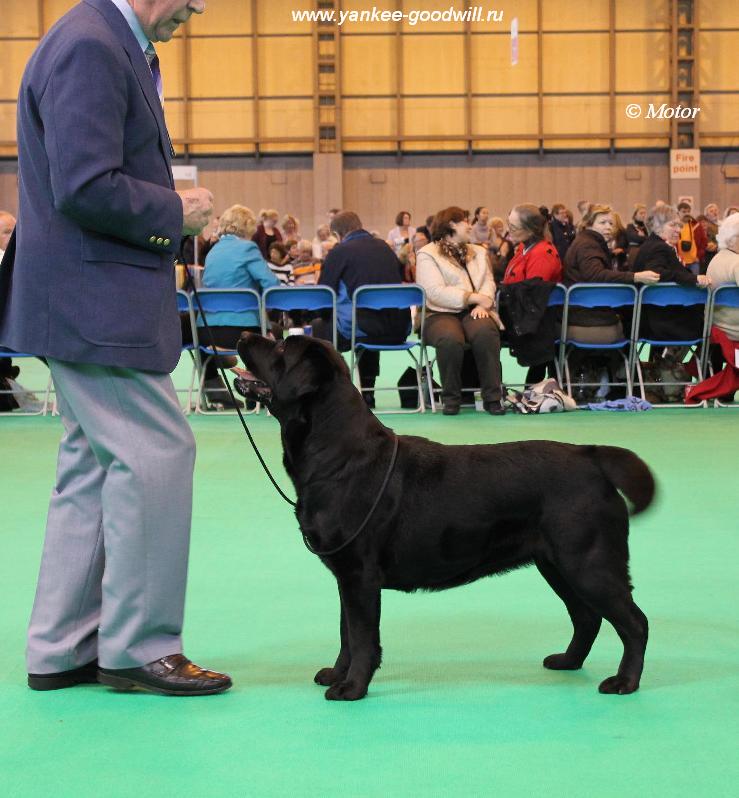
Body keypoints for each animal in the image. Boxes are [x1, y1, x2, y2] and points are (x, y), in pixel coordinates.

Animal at [236, 332, 652, 700]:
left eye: (281, 348)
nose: (241, 335)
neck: (337, 455)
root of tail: (590, 455)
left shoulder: (359, 575)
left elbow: (362, 637)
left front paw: (352, 688)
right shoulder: (345, 576)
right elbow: (346, 633)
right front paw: (337, 673)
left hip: (589, 563)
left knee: (634, 622)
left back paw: (624, 682)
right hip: (557, 564)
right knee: (587, 617)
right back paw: (568, 661)